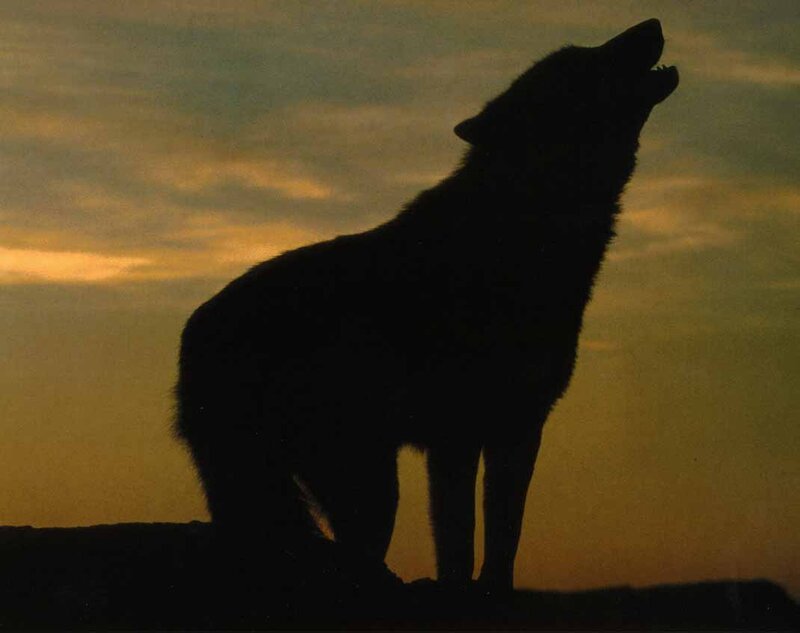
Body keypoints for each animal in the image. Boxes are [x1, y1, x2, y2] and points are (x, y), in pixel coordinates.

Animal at [175, 19, 678, 592]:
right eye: (580, 59)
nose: (653, 23)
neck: (525, 228)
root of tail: (193, 332)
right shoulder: (455, 434)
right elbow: (458, 538)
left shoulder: (517, 427)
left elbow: (504, 531)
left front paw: (495, 589)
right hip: (364, 483)